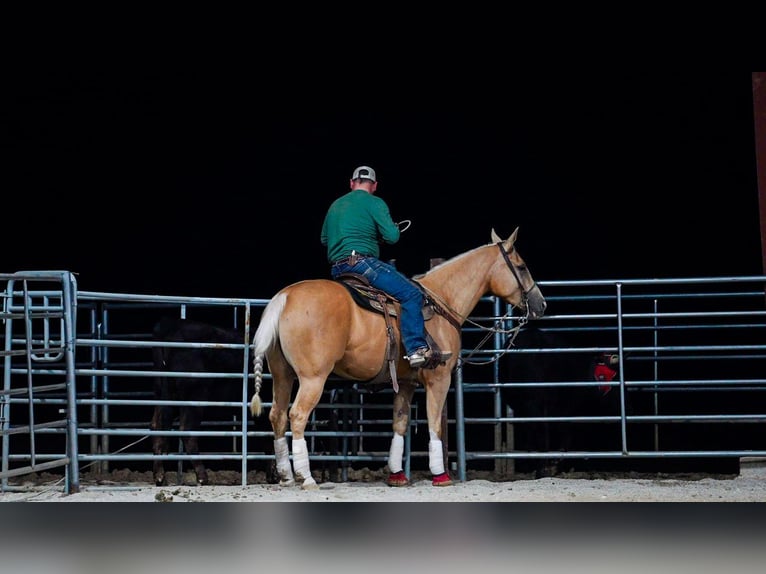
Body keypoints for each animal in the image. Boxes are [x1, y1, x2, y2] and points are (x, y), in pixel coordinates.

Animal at [148, 318, 249, 488]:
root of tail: (171, 324)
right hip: (194, 395)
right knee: (186, 431)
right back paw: (202, 477)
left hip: (162, 392)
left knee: (157, 426)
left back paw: (159, 476)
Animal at [250, 228, 544, 490]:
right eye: (522, 267)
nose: (541, 304)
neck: (442, 300)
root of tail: (284, 297)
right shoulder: (439, 379)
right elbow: (435, 424)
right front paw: (441, 476)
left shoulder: (405, 383)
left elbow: (400, 424)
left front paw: (397, 476)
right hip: (313, 378)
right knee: (297, 415)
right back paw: (306, 478)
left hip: (283, 374)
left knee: (278, 415)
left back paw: (286, 476)